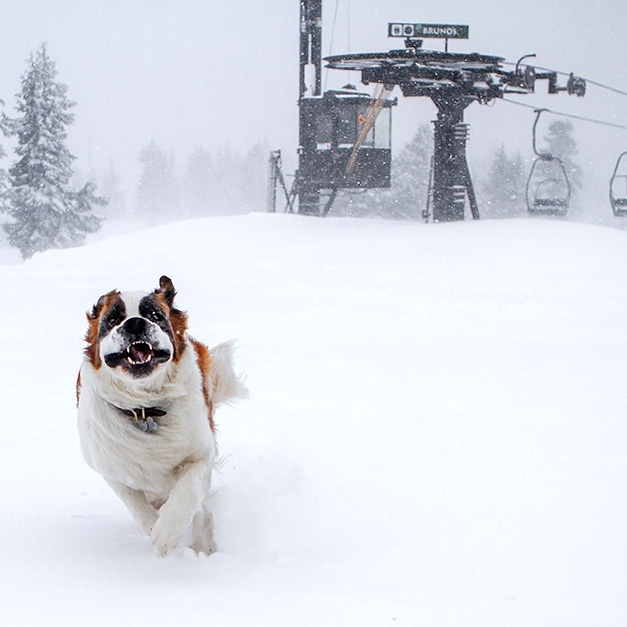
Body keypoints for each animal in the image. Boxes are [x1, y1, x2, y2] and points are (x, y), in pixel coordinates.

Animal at [76, 278, 248, 556]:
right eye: (113, 320)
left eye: (155, 315)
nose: (135, 323)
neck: (145, 409)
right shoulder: (112, 469)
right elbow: (135, 504)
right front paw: (153, 527)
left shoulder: (201, 453)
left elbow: (188, 491)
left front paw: (167, 533)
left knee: (200, 508)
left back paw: (202, 547)